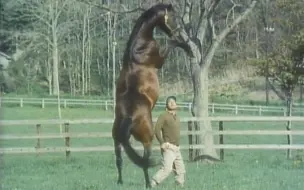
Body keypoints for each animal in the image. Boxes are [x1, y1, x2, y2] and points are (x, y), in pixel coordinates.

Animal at [111, 2, 184, 189]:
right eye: (173, 16)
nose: (177, 30)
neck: (139, 47)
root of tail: (128, 117)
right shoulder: (160, 61)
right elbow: (172, 44)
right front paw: (184, 46)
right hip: (147, 139)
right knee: (144, 162)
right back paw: (148, 184)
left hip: (117, 140)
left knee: (119, 160)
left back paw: (120, 182)